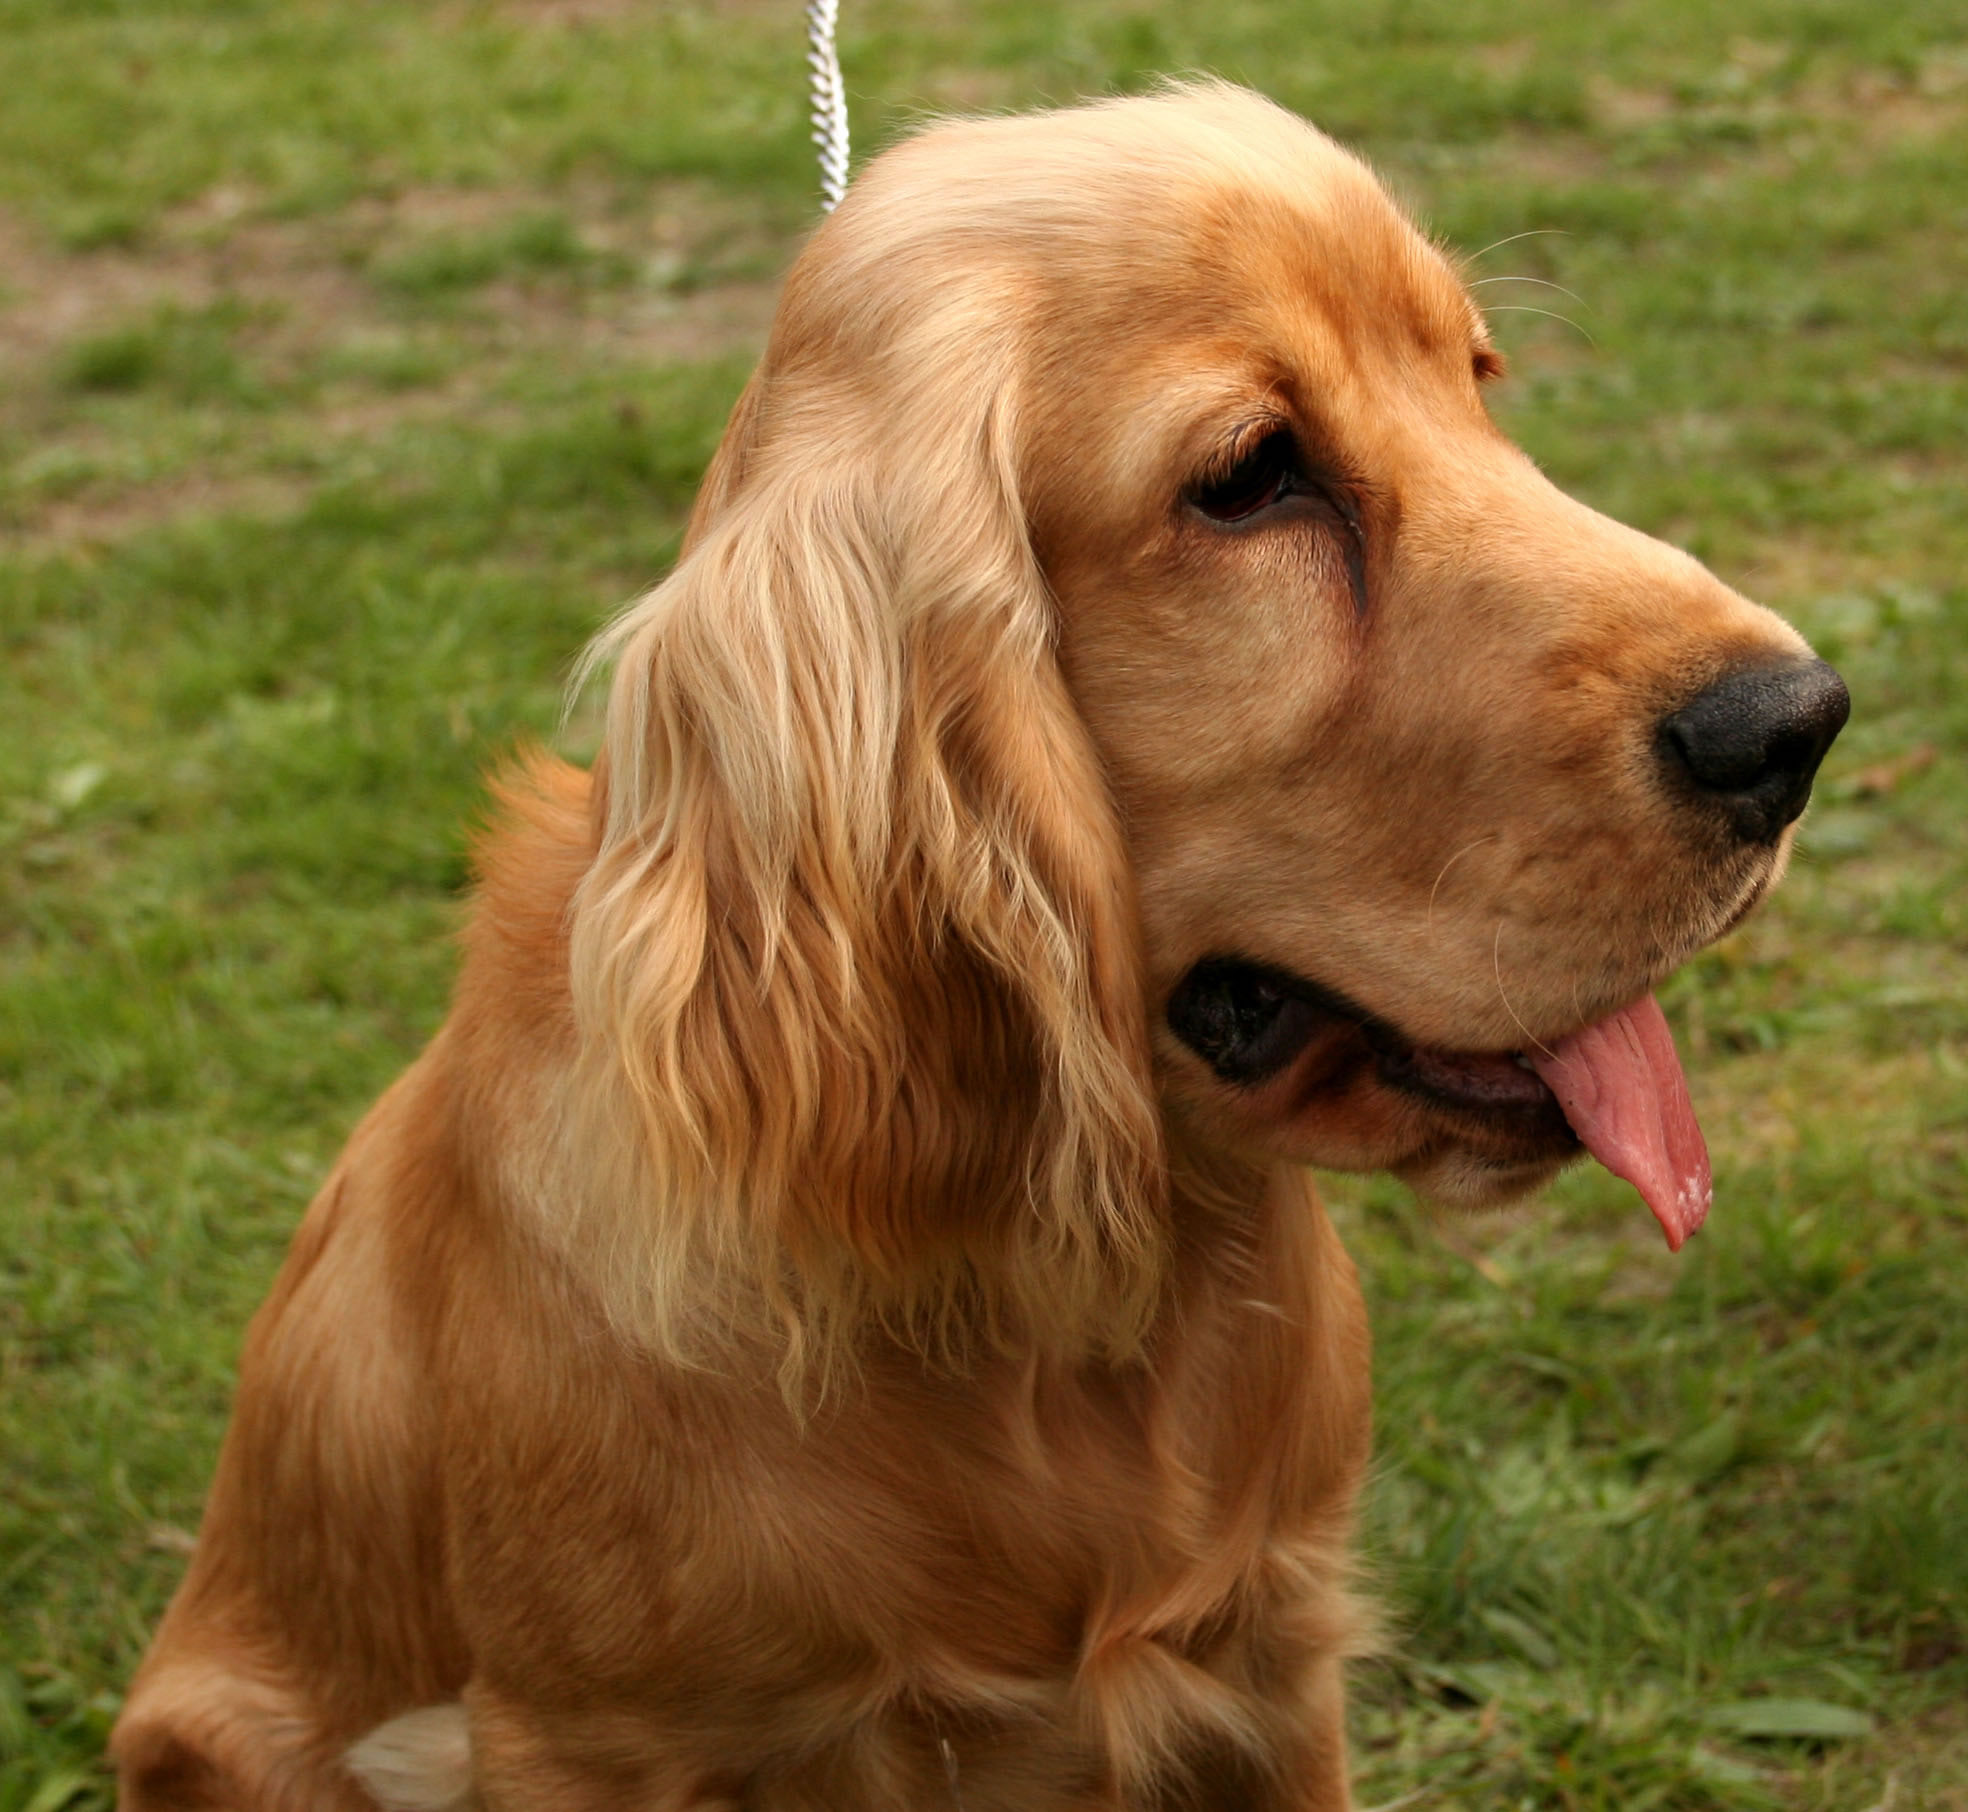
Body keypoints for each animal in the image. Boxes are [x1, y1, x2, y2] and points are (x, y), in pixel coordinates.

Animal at [119, 84, 1842, 1810]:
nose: (1800, 724)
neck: (1055, 1308)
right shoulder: (585, 1741)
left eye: (1477, 383)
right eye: (1249, 478)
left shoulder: (1274, 1665)